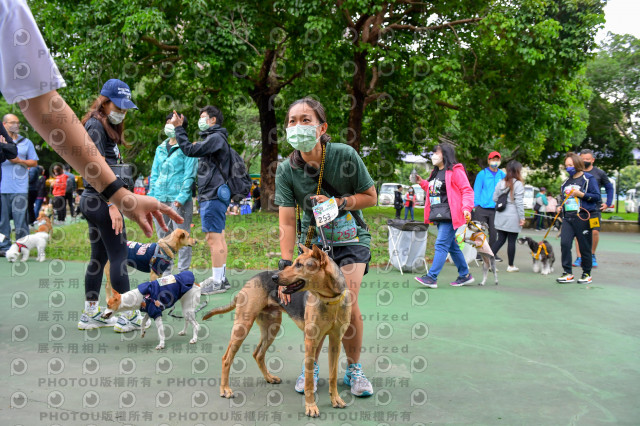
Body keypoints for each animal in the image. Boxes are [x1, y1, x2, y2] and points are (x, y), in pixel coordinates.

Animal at [202, 245, 350, 418]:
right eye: (294, 262)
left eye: (299, 265)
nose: (274, 277)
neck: (330, 299)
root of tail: (251, 280)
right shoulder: (310, 341)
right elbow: (308, 380)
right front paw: (311, 406)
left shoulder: (335, 341)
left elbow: (333, 376)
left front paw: (336, 400)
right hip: (242, 328)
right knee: (227, 358)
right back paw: (225, 389)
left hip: (271, 328)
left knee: (258, 354)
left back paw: (269, 378)